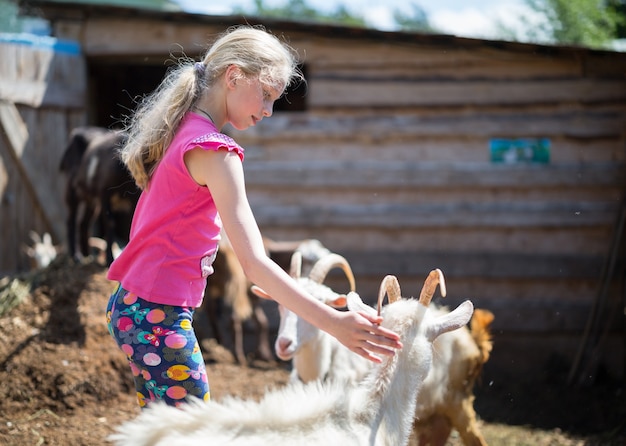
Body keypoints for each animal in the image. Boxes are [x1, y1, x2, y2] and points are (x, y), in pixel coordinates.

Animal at [58, 126, 140, 264]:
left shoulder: (134, 198)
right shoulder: (104, 192)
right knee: (71, 219)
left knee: (84, 222)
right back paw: (76, 256)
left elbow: (132, 224)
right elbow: (110, 222)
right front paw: (109, 259)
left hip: (91, 199)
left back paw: (87, 254)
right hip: (71, 190)